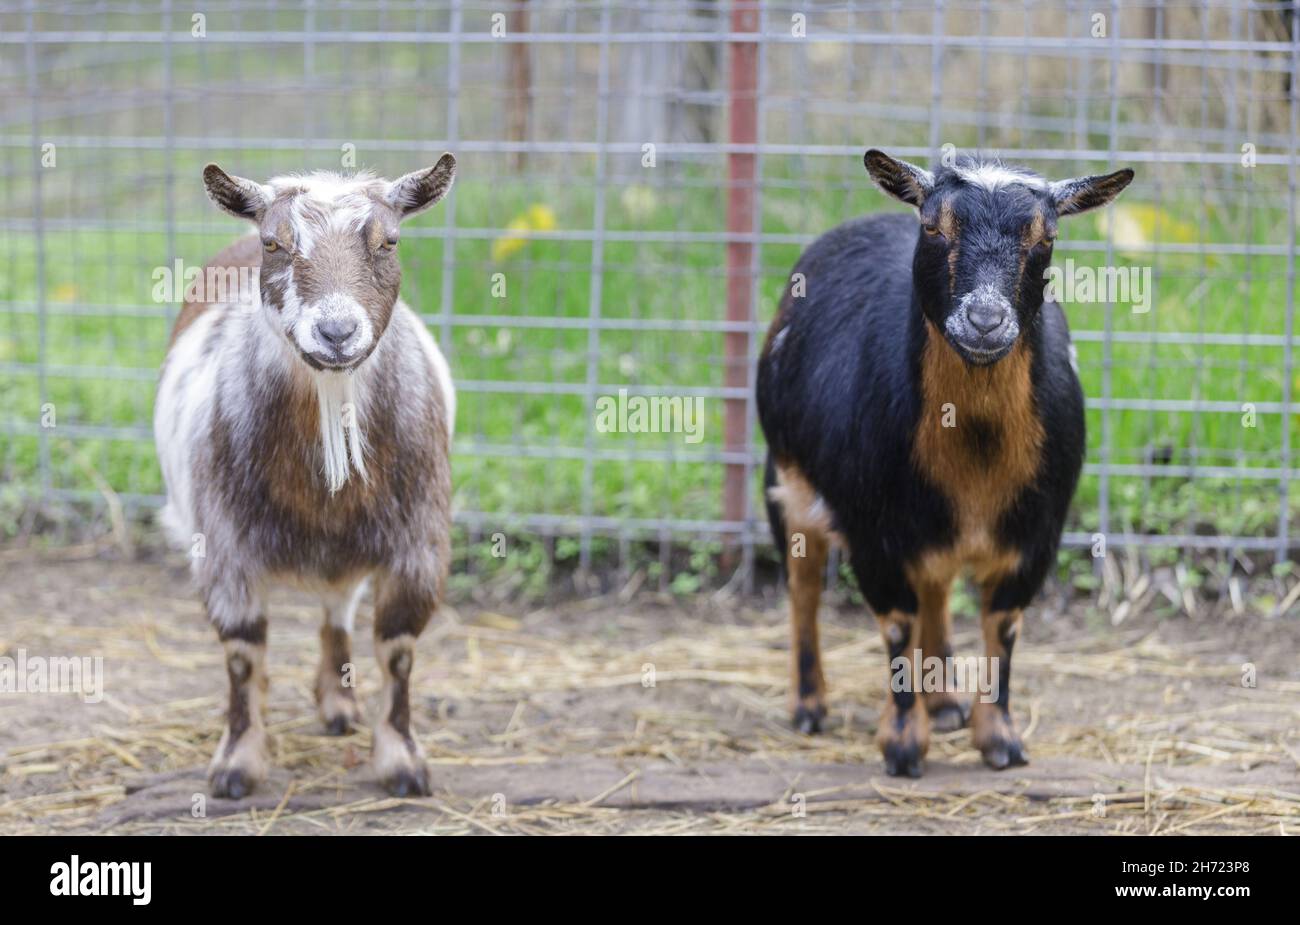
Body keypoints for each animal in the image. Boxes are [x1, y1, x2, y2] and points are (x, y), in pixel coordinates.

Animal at [154, 155, 460, 800]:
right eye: (275, 243)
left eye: (389, 240)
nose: (337, 333)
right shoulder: (224, 549)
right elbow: (243, 655)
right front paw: (236, 765)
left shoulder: (419, 543)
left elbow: (397, 649)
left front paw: (402, 763)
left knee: (338, 606)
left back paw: (339, 704)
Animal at [759, 148, 1133, 774]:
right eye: (934, 226)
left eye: (1047, 236)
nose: (985, 321)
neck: (976, 453)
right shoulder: (871, 531)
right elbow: (895, 624)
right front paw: (902, 745)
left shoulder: (1037, 534)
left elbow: (1001, 626)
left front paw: (999, 739)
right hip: (787, 478)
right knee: (803, 585)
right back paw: (809, 705)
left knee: (934, 587)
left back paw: (944, 702)